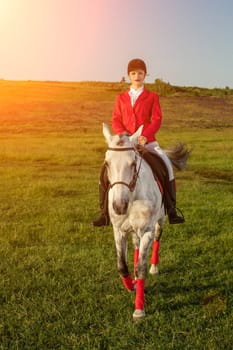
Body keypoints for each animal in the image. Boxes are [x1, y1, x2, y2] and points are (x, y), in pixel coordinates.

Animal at [102, 123, 166, 322]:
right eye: (107, 163)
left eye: (132, 163)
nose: (119, 206)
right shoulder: (119, 231)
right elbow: (122, 266)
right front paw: (132, 284)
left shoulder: (147, 231)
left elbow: (140, 269)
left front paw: (139, 309)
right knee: (136, 245)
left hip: (159, 222)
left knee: (157, 240)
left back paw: (154, 268)